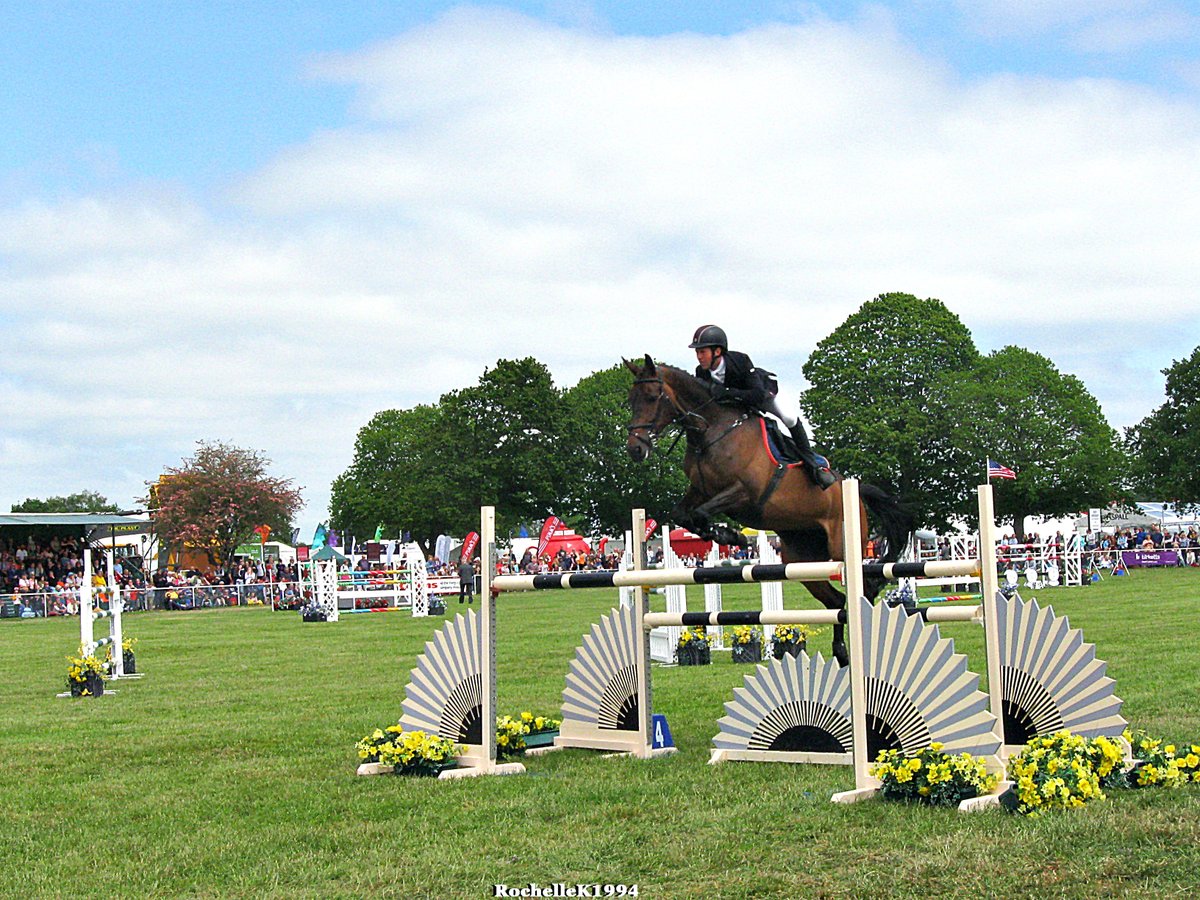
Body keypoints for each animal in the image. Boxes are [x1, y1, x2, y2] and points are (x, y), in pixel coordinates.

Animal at [624, 355, 912, 667]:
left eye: (652, 396)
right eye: (631, 399)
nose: (635, 449)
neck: (710, 431)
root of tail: (854, 490)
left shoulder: (744, 493)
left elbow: (700, 513)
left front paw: (732, 536)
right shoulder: (699, 491)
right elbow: (684, 514)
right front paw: (727, 535)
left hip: (841, 548)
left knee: (864, 589)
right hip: (801, 560)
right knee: (836, 602)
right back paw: (842, 652)